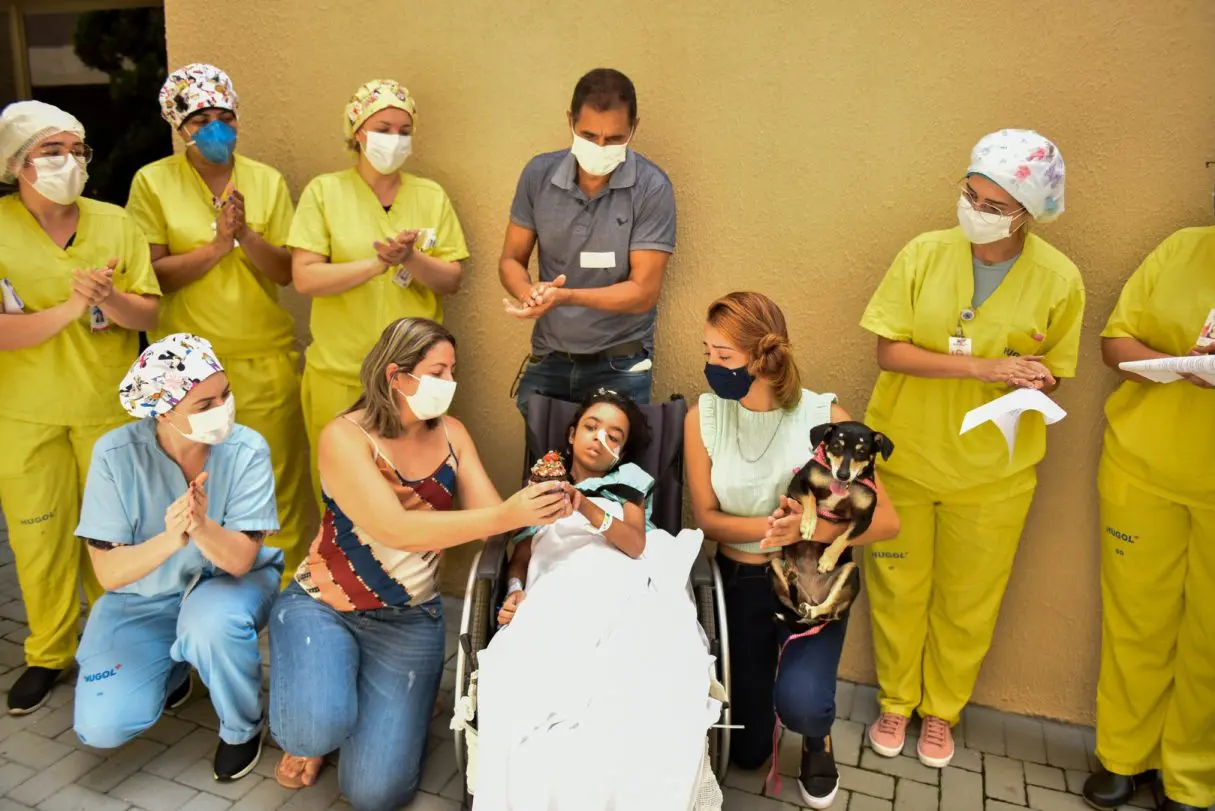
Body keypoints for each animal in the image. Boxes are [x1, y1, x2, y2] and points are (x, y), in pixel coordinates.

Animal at [767, 423, 894, 632]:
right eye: (836, 446)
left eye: (861, 452)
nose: (843, 474)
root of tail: (811, 596)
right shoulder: (798, 483)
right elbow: (810, 498)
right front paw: (809, 524)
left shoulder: (865, 518)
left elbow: (845, 537)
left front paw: (827, 559)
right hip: (774, 564)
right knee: (793, 603)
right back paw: (792, 577)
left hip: (851, 571)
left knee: (828, 609)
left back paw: (812, 609)